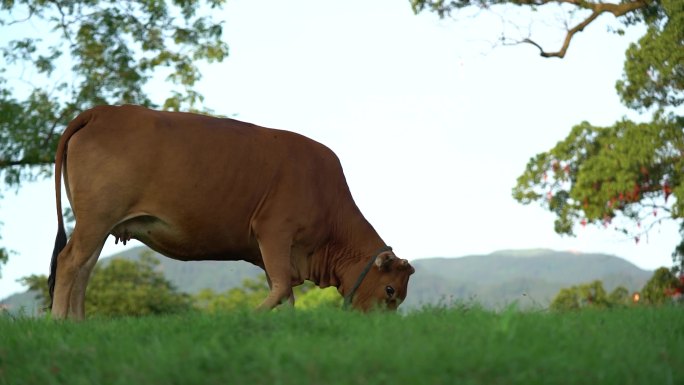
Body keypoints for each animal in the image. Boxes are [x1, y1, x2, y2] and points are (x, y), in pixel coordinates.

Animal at [48, 104, 414, 318]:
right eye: (390, 290)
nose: (381, 326)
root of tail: (102, 111)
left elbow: (285, 293)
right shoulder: (275, 231)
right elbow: (281, 288)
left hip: (99, 224)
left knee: (84, 270)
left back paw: (78, 324)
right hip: (96, 219)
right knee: (69, 263)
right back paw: (58, 322)